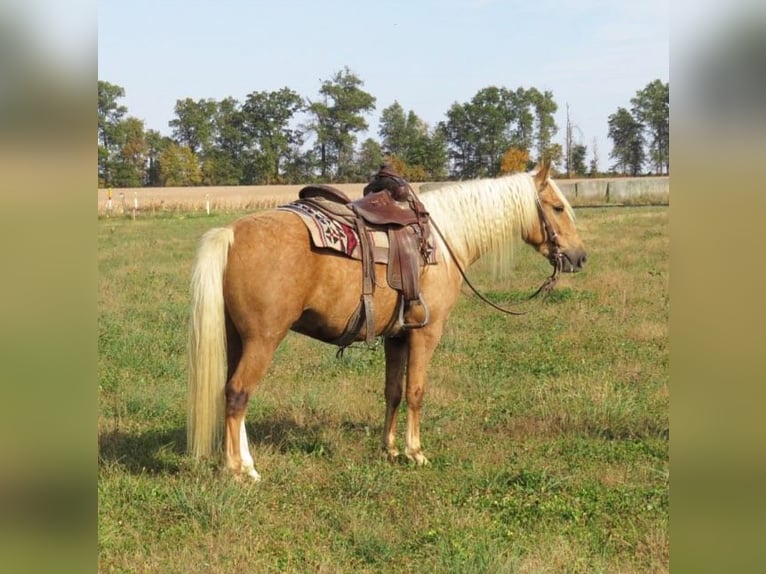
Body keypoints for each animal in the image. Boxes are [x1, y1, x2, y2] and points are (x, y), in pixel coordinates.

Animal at [186, 160, 588, 484]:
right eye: (557, 207)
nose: (579, 256)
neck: (443, 242)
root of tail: (231, 234)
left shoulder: (396, 336)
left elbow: (392, 391)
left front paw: (390, 449)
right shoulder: (426, 333)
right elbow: (416, 392)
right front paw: (416, 452)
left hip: (236, 338)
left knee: (230, 393)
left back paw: (245, 462)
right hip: (263, 339)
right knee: (239, 394)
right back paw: (239, 471)